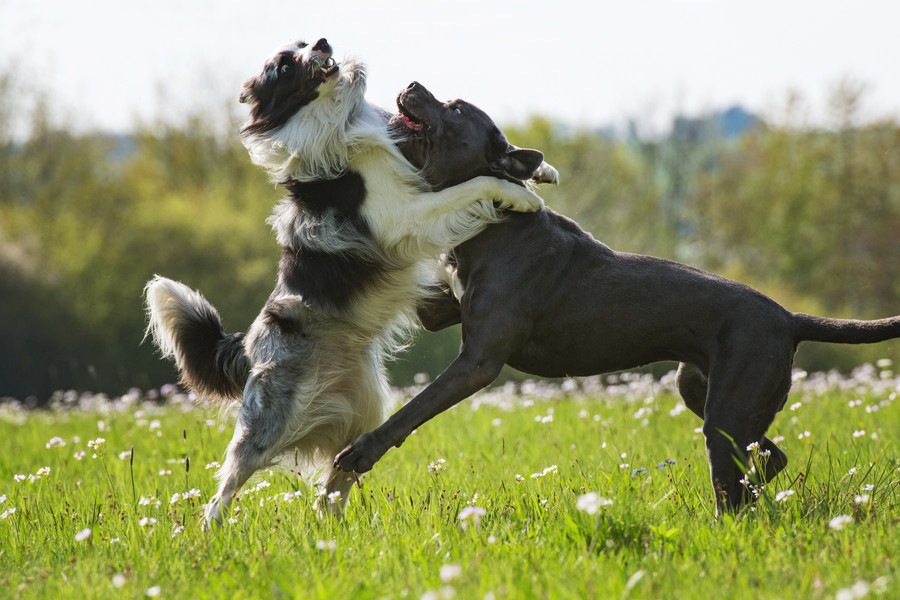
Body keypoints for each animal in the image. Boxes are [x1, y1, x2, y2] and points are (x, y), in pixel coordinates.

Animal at [144, 39, 544, 524]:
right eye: (285, 66)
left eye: (302, 44)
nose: (322, 42)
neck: (338, 118)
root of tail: (247, 344)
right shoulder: (403, 216)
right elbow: (472, 186)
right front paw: (521, 194)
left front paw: (541, 173)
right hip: (270, 418)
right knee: (228, 483)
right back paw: (210, 530)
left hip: (362, 410)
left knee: (336, 480)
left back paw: (333, 529)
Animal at [334, 82, 900, 516]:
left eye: (454, 108)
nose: (412, 82)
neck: (493, 226)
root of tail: (790, 317)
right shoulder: (439, 310)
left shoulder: (478, 362)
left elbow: (412, 411)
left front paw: (358, 455)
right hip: (703, 390)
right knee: (765, 459)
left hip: (728, 409)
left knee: (734, 488)